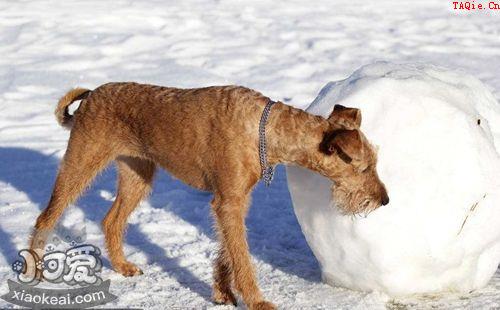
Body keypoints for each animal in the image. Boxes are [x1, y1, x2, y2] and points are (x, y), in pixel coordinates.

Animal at [29, 83, 388, 310]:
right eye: (364, 166)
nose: (384, 200)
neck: (267, 131)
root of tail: (91, 96)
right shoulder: (228, 202)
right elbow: (241, 257)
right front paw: (257, 301)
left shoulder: (233, 200)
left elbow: (227, 252)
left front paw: (222, 293)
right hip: (80, 165)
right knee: (46, 216)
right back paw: (34, 271)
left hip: (138, 175)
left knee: (111, 219)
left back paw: (123, 267)